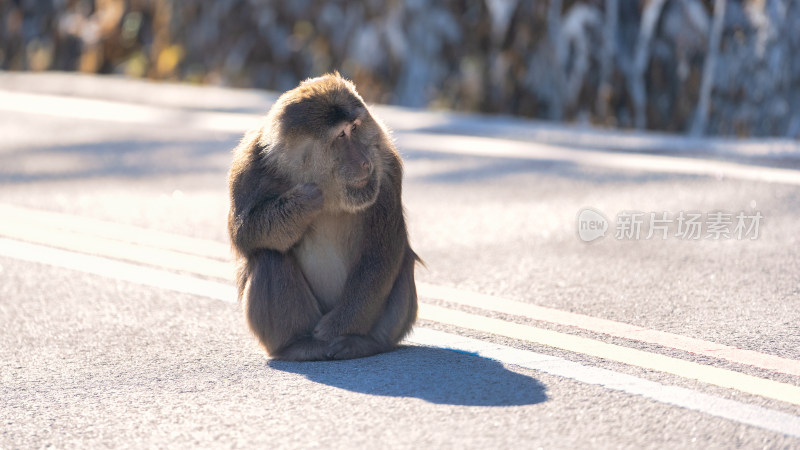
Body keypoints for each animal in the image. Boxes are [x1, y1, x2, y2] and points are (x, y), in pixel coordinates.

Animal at [227, 74, 418, 362]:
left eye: (356, 127)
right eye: (341, 134)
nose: (364, 162)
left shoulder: (386, 169)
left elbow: (380, 255)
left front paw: (334, 330)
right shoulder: (249, 164)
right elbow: (242, 235)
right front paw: (303, 202)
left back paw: (365, 342)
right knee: (269, 255)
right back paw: (297, 345)